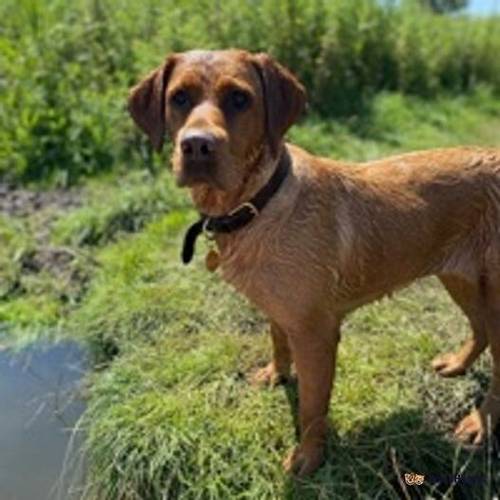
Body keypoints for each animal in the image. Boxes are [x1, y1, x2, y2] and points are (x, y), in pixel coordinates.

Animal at [128, 49, 500, 476]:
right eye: (179, 97)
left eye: (239, 99)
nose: (197, 146)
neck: (258, 203)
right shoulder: (279, 308)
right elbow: (277, 342)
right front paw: (276, 375)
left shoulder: (316, 333)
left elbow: (310, 405)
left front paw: (308, 456)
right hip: (459, 277)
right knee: (480, 330)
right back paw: (457, 364)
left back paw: (479, 423)